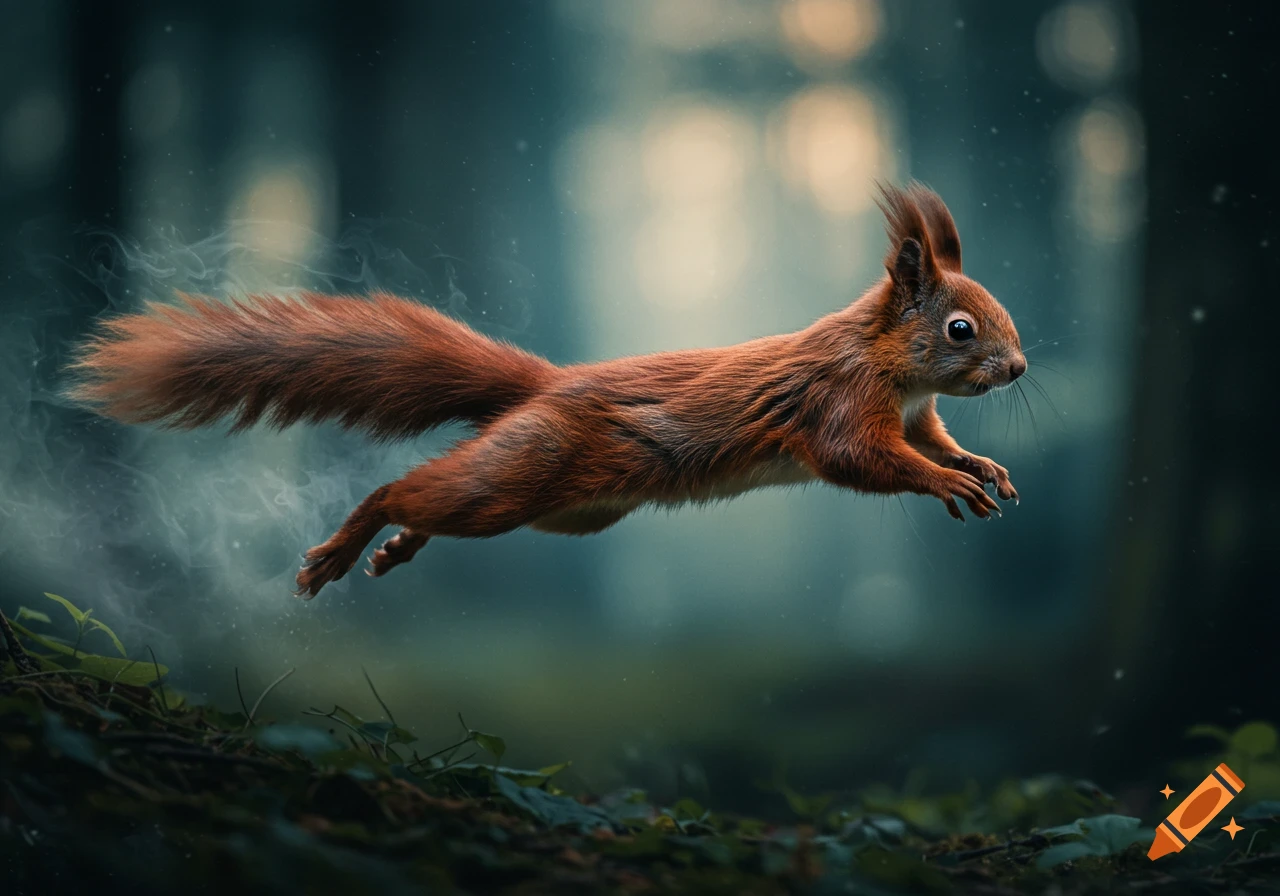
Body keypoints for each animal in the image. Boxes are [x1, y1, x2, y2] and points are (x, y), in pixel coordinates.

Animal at [67, 182, 1024, 599]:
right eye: (961, 329)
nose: (1017, 370)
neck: (887, 364)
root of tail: (548, 385)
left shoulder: (916, 412)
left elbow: (933, 441)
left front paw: (982, 467)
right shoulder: (839, 403)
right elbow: (863, 459)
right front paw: (946, 482)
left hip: (571, 509)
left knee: (432, 500)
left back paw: (396, 549)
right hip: (522, 475)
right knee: (406, 487)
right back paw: (346, 549)